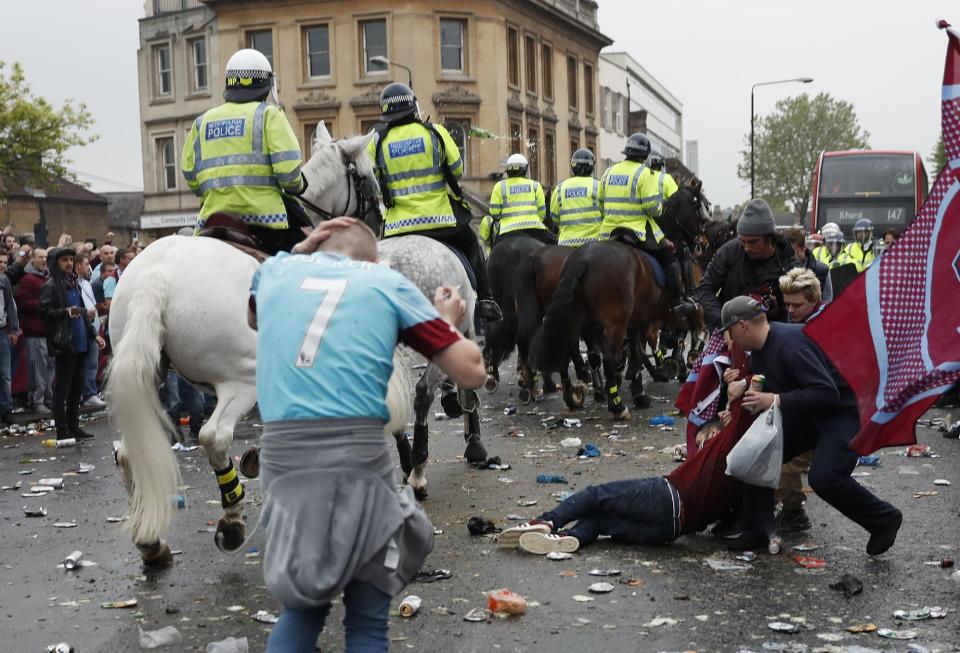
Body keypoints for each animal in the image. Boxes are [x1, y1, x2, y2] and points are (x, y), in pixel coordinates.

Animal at [109, 125, 402, 564]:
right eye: (368, 177)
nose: (377, 225)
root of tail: (157, 276)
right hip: (240, 378)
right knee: (214, 437)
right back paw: (231, 520)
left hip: (149, 376)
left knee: (129, 452)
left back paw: (151, 541)